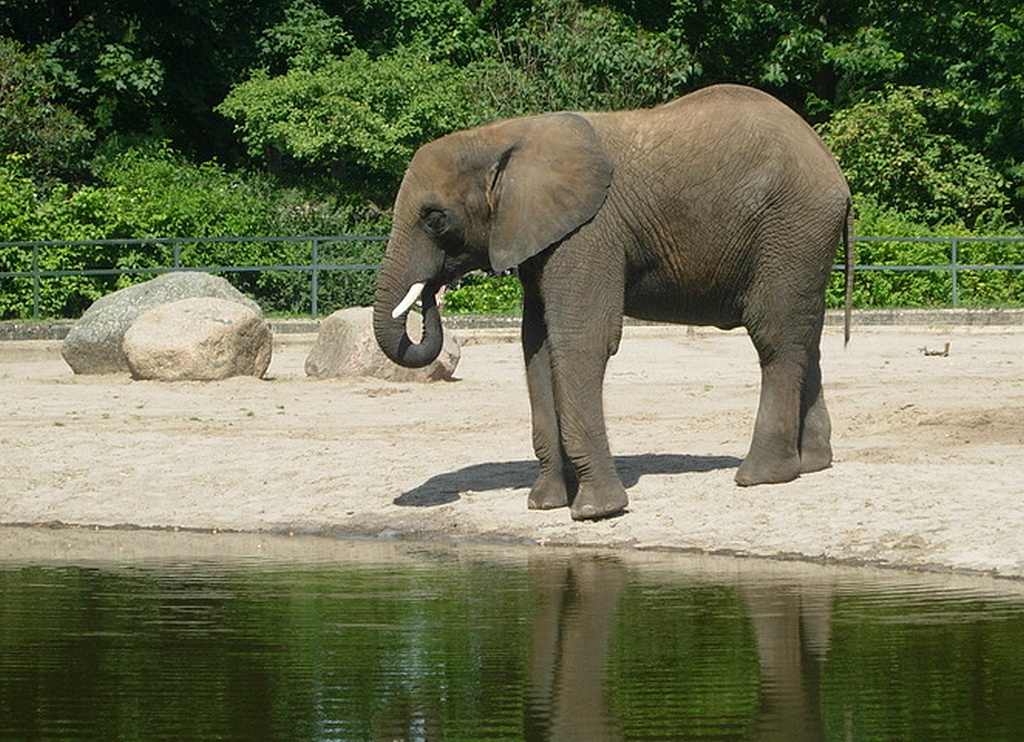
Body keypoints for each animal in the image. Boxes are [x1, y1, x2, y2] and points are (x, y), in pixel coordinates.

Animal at [372, 82, 851, 521]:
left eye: (434, 218)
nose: (431, 294)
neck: (502, 136)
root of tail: (833, 169)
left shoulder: (590, 230)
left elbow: (581, 340)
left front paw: (596, 511)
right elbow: (537, 346)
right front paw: (544, 503)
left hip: (791, 228)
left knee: (775, 336)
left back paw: (760, 476)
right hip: (803, 238)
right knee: (806, 334)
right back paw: (812, 464)